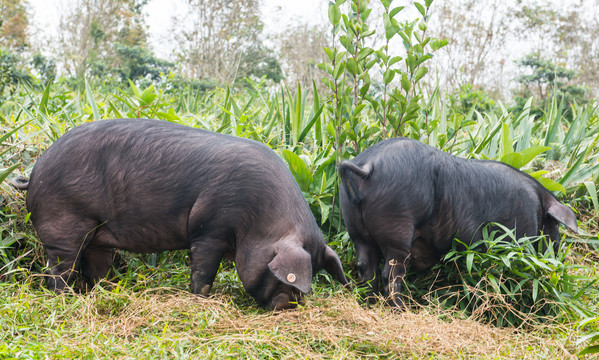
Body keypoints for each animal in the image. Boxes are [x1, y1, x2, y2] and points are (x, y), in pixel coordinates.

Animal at [11, 118, 350, 310]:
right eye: (281, 277)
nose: (288, 306)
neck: (258, 222)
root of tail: (35, 172)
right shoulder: (209, 228)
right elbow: (203, 272)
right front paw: (201, 299)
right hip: (64, 225)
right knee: (60, 268)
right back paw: (66, 298)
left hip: (98, 234)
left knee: (97, 266)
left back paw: (108, 293)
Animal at [340, 136, 580, 306]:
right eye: (554, 227)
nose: (556, 259)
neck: (538, 205)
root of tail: (367, 167)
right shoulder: (519, 235)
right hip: (397, 228)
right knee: (390, 274)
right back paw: (400, 310)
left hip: (356, 230)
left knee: (365, 269)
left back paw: (370, 304)